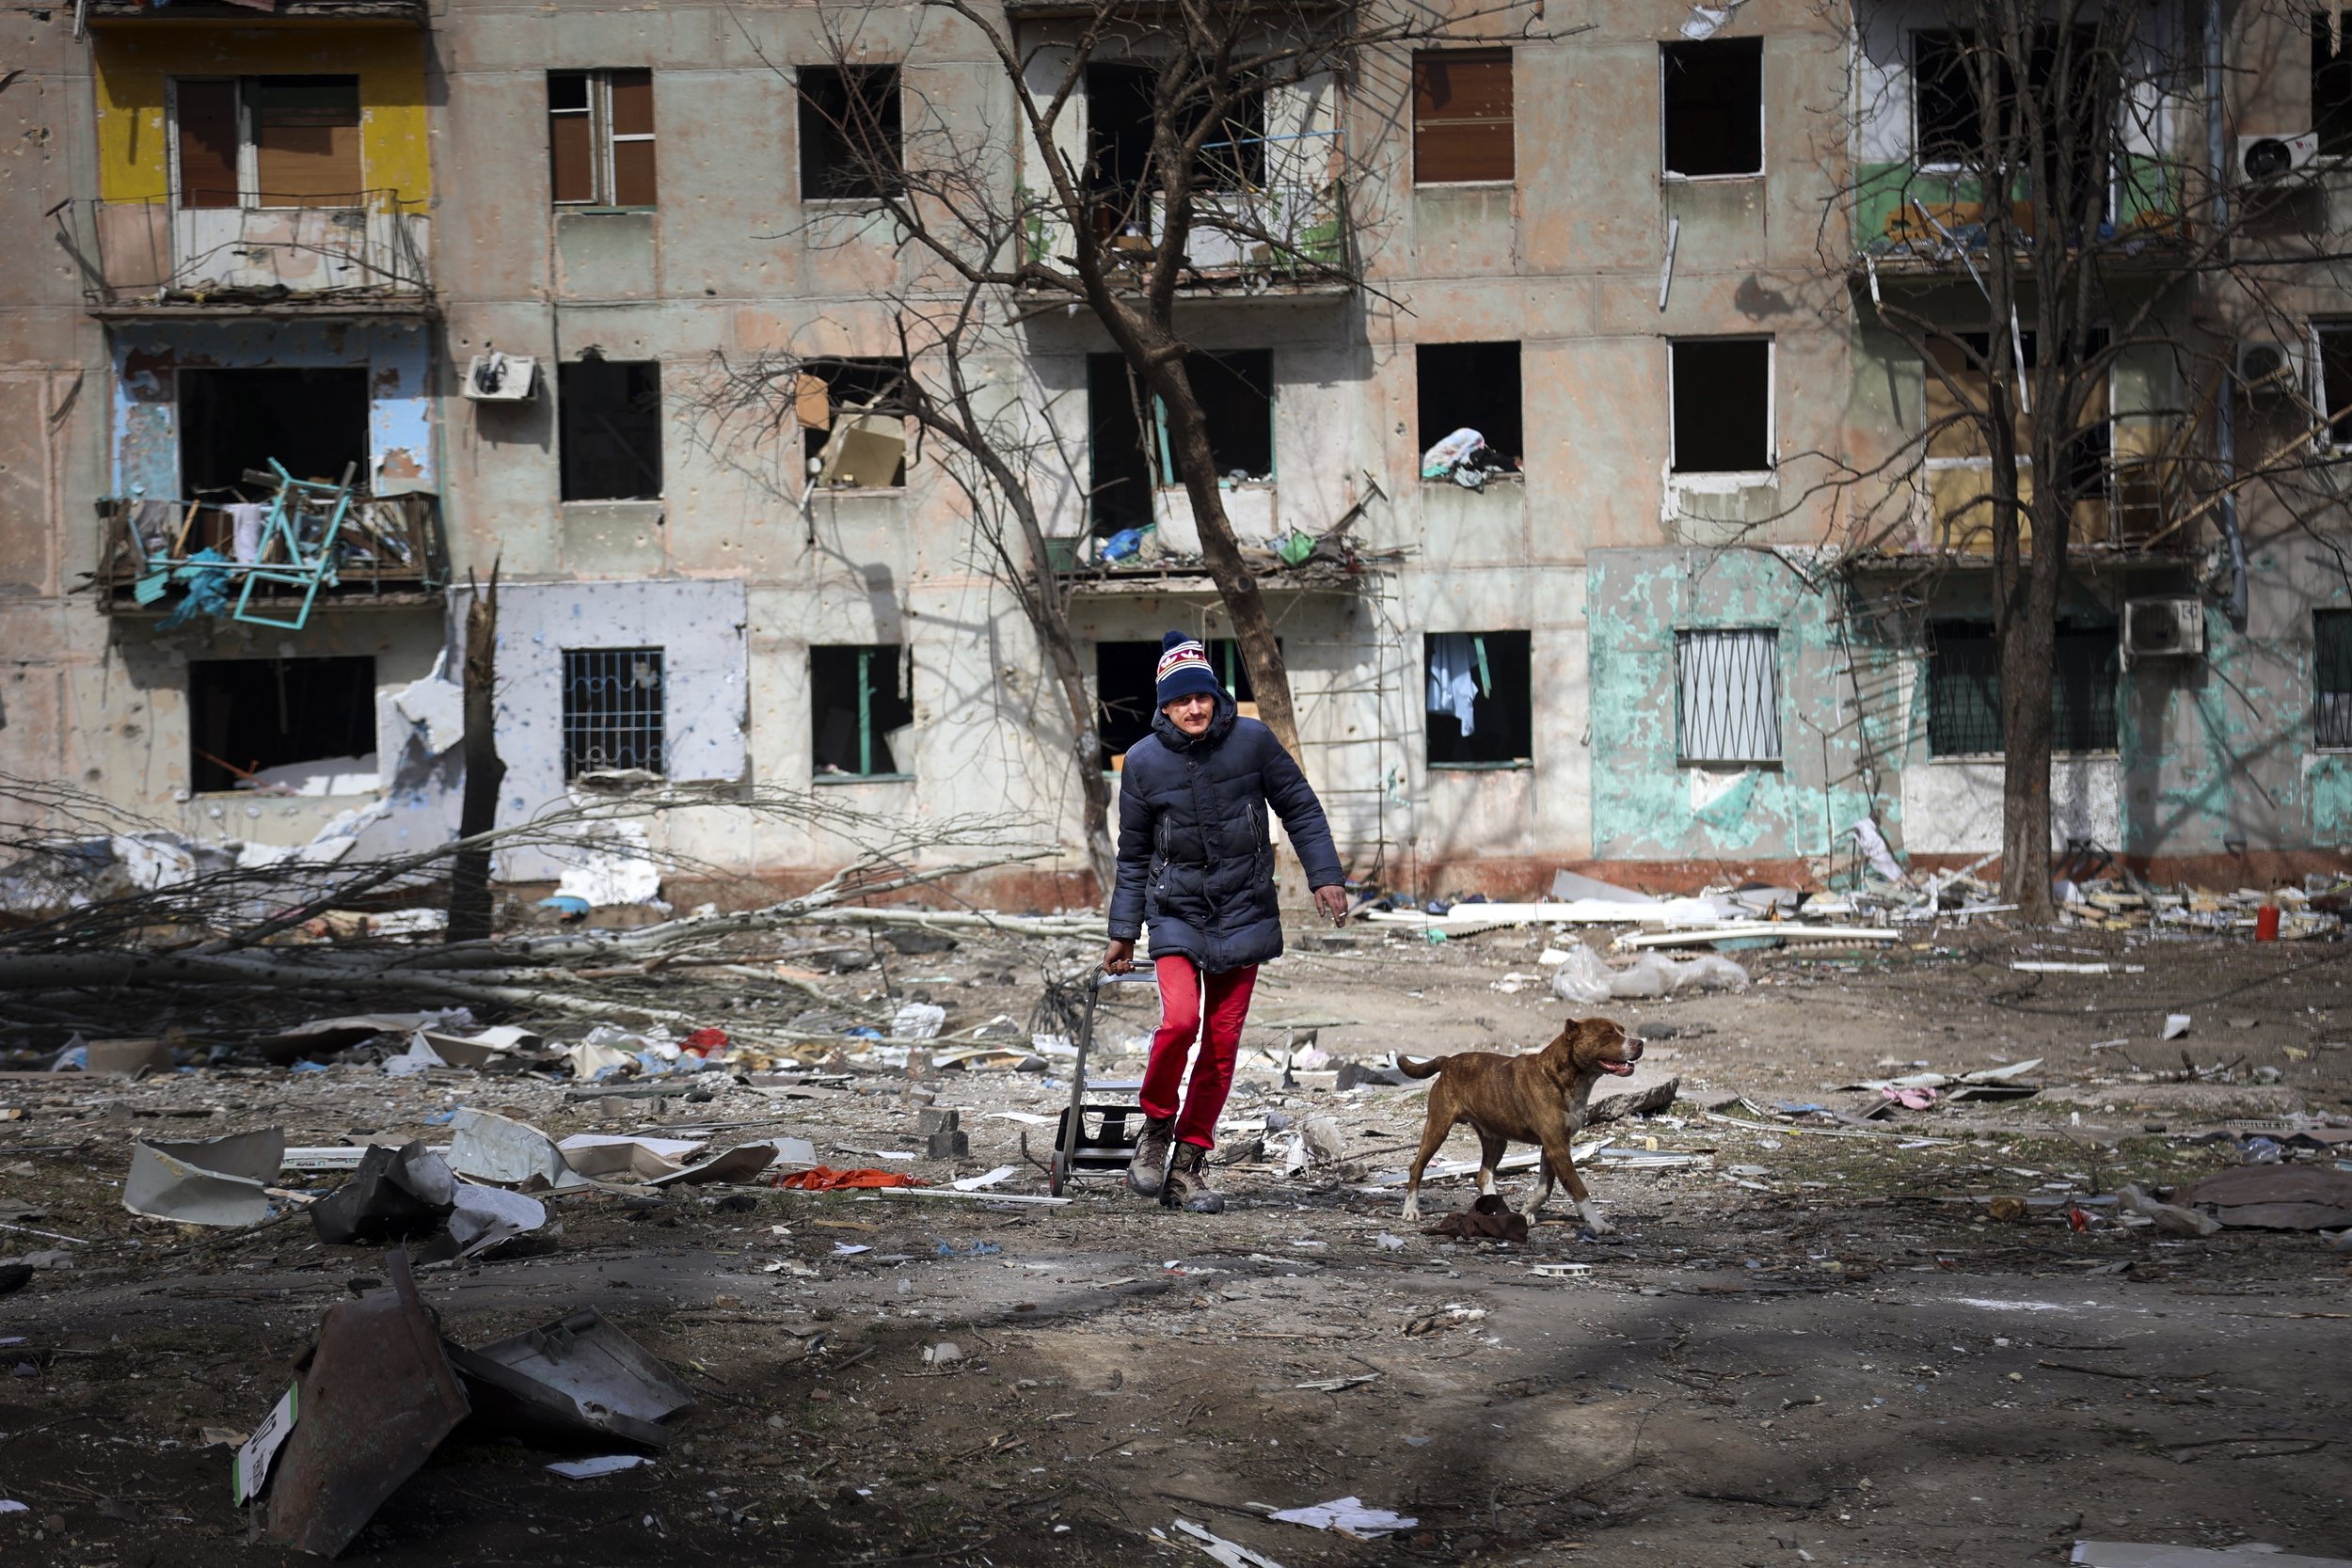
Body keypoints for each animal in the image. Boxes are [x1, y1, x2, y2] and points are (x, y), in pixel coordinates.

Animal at [1392, 1024, 1637, 1231]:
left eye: (1622, 1030)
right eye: (1608, 1033)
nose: (1640, 1043)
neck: (1560, 1075)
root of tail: (1448, 1061)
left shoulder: (1552, 1146)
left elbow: (1544, 1189)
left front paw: (1527, 1211)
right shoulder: (1557, 1147)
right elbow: (1578, 1189)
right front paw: (1598, 1224)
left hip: (1496, 1139)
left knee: (1483, 1176)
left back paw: (1498, 1210)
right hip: (1438, 1127)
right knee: (1416, 1167)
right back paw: (1411, 1210)